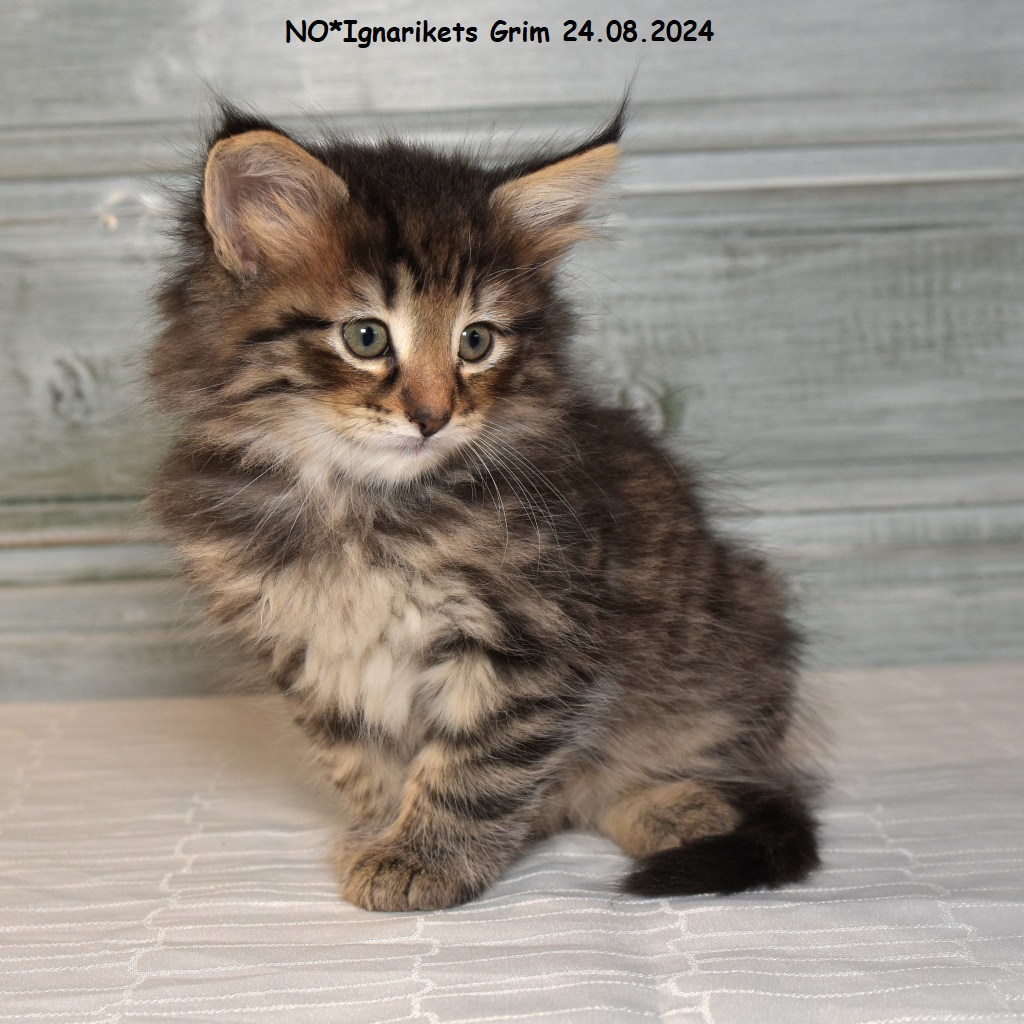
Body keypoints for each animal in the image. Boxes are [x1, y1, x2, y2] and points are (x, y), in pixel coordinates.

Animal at [148, 101, 822, 911]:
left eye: (476, 341)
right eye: (366, 336)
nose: (433, 416)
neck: (356, 504)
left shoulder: (531, 637)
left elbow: (475, 766)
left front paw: (425, 859)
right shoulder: (309, 648)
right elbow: (363, 758)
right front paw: (380, 829)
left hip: (730, 644)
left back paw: (677, 807)